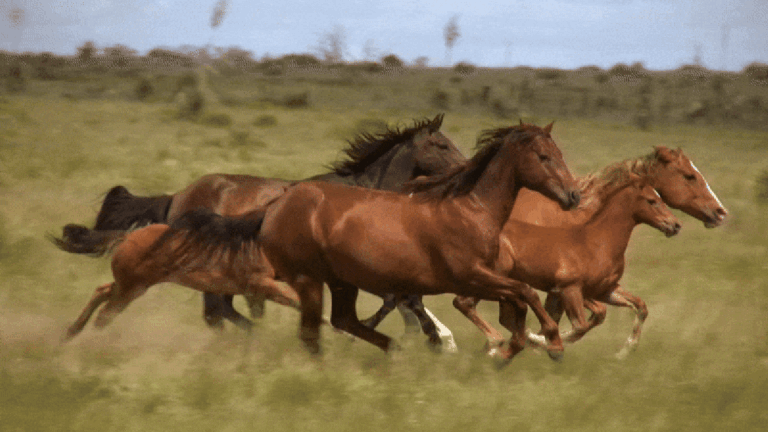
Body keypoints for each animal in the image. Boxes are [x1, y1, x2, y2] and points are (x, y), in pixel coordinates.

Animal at [52, 114, 466, 350]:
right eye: (441, 144)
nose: (467, 169)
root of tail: (177, 197)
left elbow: (401, 299)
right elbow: (403, 299)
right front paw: (437, 340)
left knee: (218, 312)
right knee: (215, 312)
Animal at [451, 168, 683, 359]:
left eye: (661, 197)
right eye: (651, 200)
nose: (675, 225)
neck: (598, 242)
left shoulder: (605, 290)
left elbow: (639, 307)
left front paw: (625, 351)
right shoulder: (570, 289)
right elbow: (580, 325)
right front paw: (545, 342)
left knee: (494, 314)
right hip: (491, 277)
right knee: (464, 303)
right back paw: (496, 344)